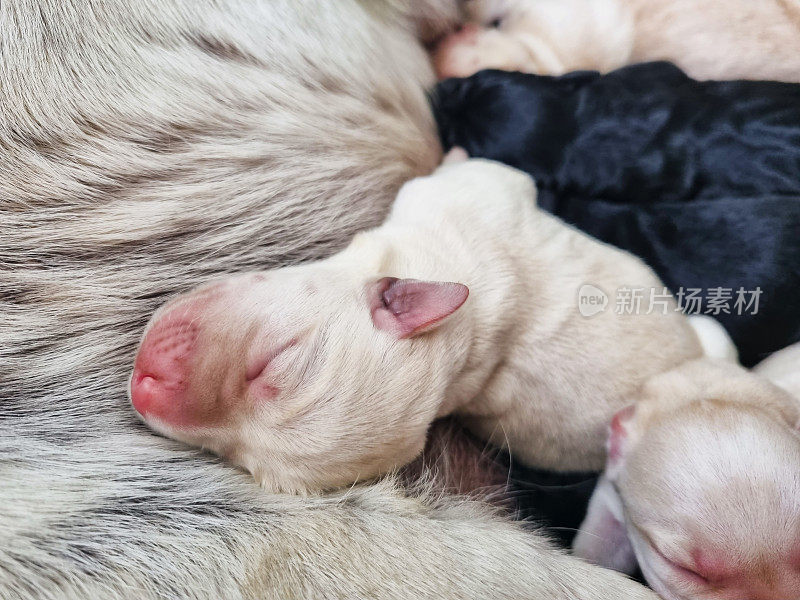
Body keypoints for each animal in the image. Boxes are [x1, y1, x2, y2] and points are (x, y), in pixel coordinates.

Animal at [126, 152, 708, 494]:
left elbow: (483, 168)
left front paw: (453, 149)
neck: (460, 338)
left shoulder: (467, 190)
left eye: (274, 362)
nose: (145, 387)